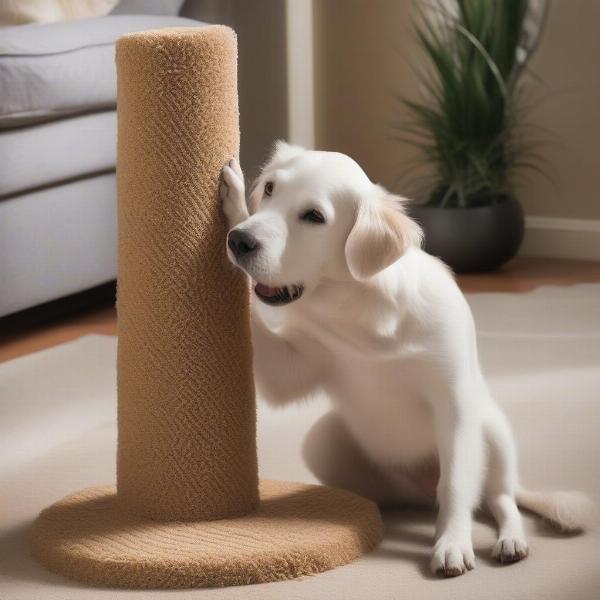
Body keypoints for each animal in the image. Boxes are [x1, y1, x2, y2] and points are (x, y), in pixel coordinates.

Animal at [219, 141, 592, 576]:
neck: (357, 305)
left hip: (493, 429)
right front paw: (233, 203)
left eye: (314, 216)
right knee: (407, 497)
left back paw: (510, 540)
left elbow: (456, 483)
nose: (240, 241)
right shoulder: (293, 364)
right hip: (323, 441)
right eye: (270, 189)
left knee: (500, 498)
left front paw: (453, 545)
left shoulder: (455, 403)